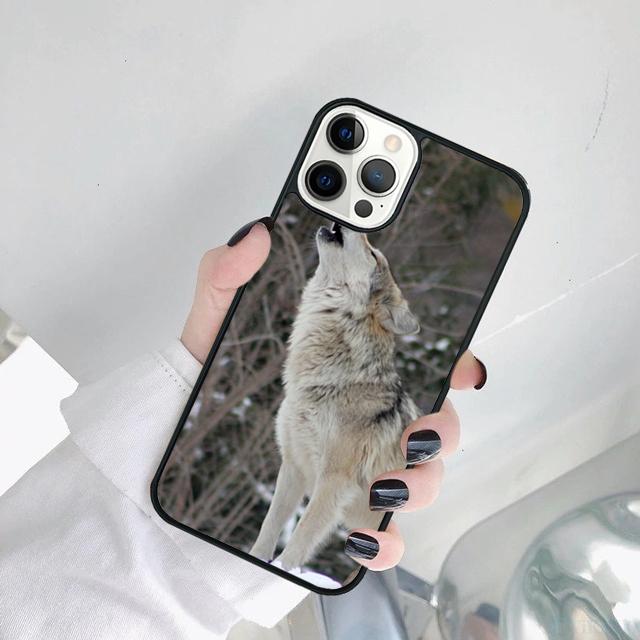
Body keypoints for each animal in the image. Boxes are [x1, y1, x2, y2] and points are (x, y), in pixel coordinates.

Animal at [250, 224, 420, 570]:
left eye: (374, 254)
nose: (355, 224)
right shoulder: (294, 465)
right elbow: (269, 528)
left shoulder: (334, 482)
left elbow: (299, 540)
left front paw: (282, 573)